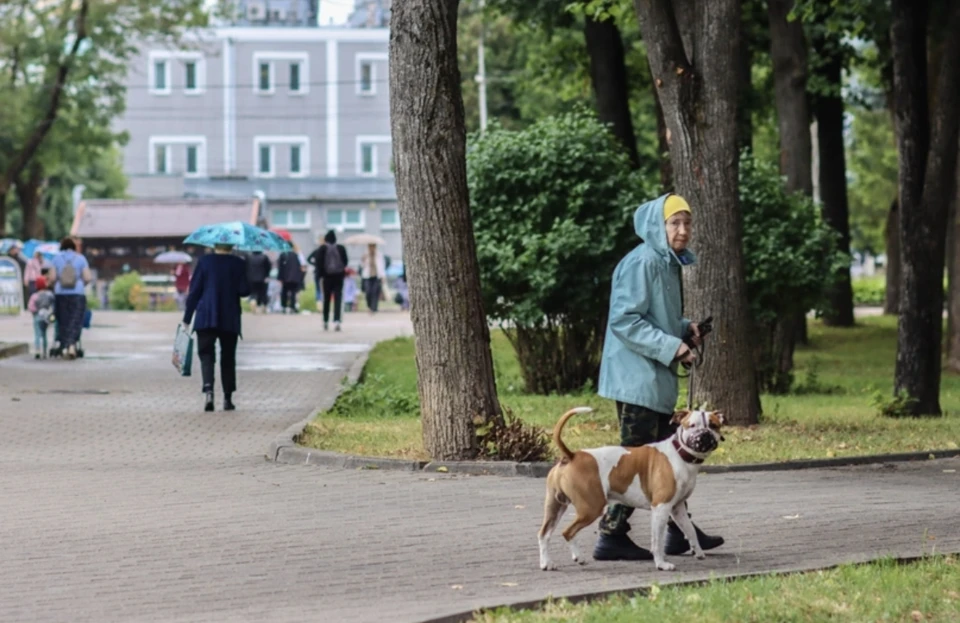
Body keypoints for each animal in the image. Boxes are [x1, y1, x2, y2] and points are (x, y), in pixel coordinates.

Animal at [536, 408, 724, 572]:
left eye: (713, 425)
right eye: (692, 425)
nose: (704, 434)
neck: (679, 454)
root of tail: (572, 455)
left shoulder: (677, 508)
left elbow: (690, 530)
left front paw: (698, 551)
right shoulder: (661, 508)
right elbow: (657, 541)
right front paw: (661, 564)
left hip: (555, 507)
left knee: (544, 534)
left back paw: (547, 563)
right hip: (590, 508)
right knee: (568, 531)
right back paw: (578, 557)